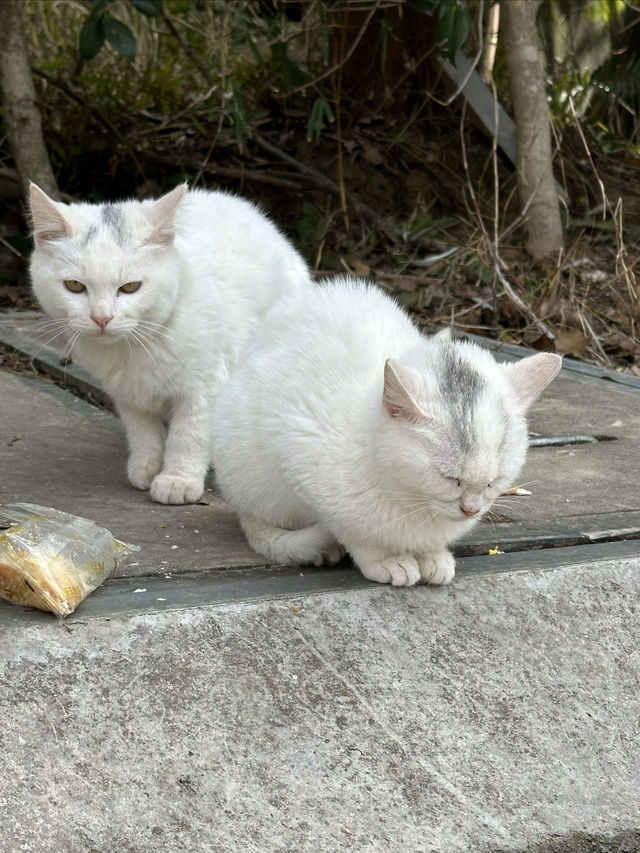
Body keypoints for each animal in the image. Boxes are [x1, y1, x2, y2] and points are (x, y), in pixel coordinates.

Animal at [29, 183, 310, 502]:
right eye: (74, 286)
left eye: (131, 287)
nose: (102, 318)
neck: (135, 347)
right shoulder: (127, 393)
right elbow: (142, 431)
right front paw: (146, 466)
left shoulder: (205, 388)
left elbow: (189, 434)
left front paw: (178, 480)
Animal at [211, 278, 560, 584]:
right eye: (450, 479)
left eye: (493, 482)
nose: (471, 509)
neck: (409, 497)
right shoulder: (299, 448)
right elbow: (354, 530)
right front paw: (386, 559)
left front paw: (432, 555)